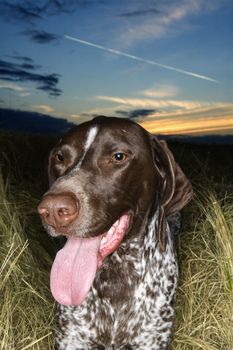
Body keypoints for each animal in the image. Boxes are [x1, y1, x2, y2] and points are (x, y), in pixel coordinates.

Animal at [38, 117, 192, 350]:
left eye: (118, 156)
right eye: (60, 157)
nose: (53, 210)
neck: (115, 276)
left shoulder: (151, 340)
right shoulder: (71, 338)